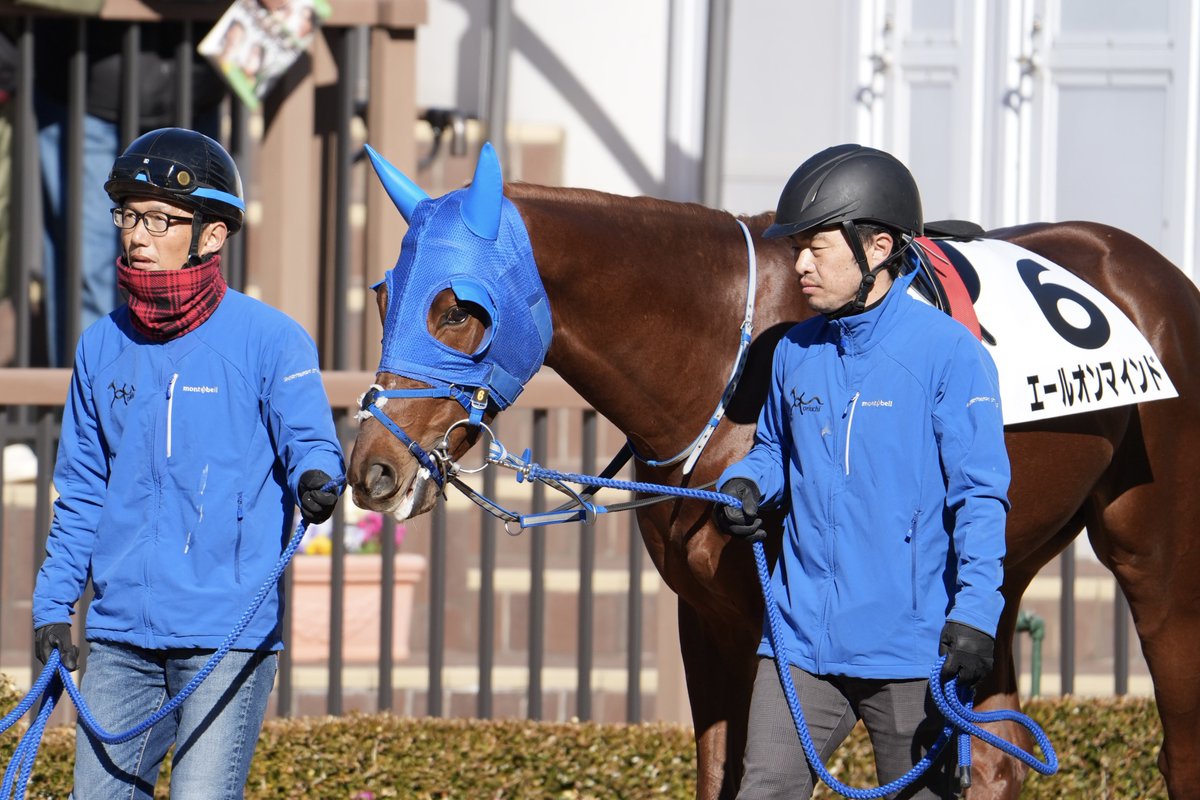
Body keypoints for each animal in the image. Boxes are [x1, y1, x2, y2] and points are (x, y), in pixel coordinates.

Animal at [346, 144, 1200, 800]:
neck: (728, 355)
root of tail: (1158, 276)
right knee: (992, 756)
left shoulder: (782, 637)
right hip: (997, 572)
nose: (373, 469)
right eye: (384, 293)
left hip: (1157, 564)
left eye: (460, 308)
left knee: (1179, 743)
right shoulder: (711, 622)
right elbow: (725, 772)